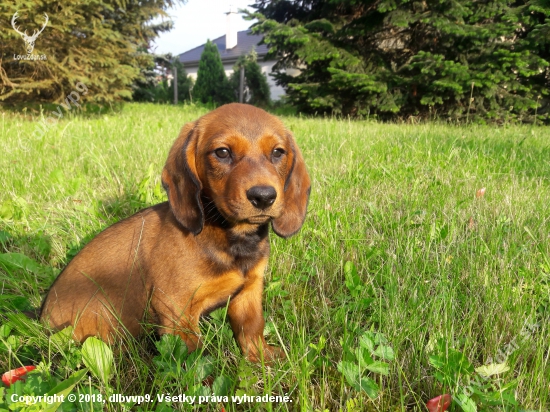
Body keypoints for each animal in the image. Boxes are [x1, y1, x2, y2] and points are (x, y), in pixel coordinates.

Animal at [40, 103, 310, 360]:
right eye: (222, 152)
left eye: (277, 152)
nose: (263, 197)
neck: (233, 236)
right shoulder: (176, 310)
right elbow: (196, 361)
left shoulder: (249, 291)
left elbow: (252, 329)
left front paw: (263, 358)